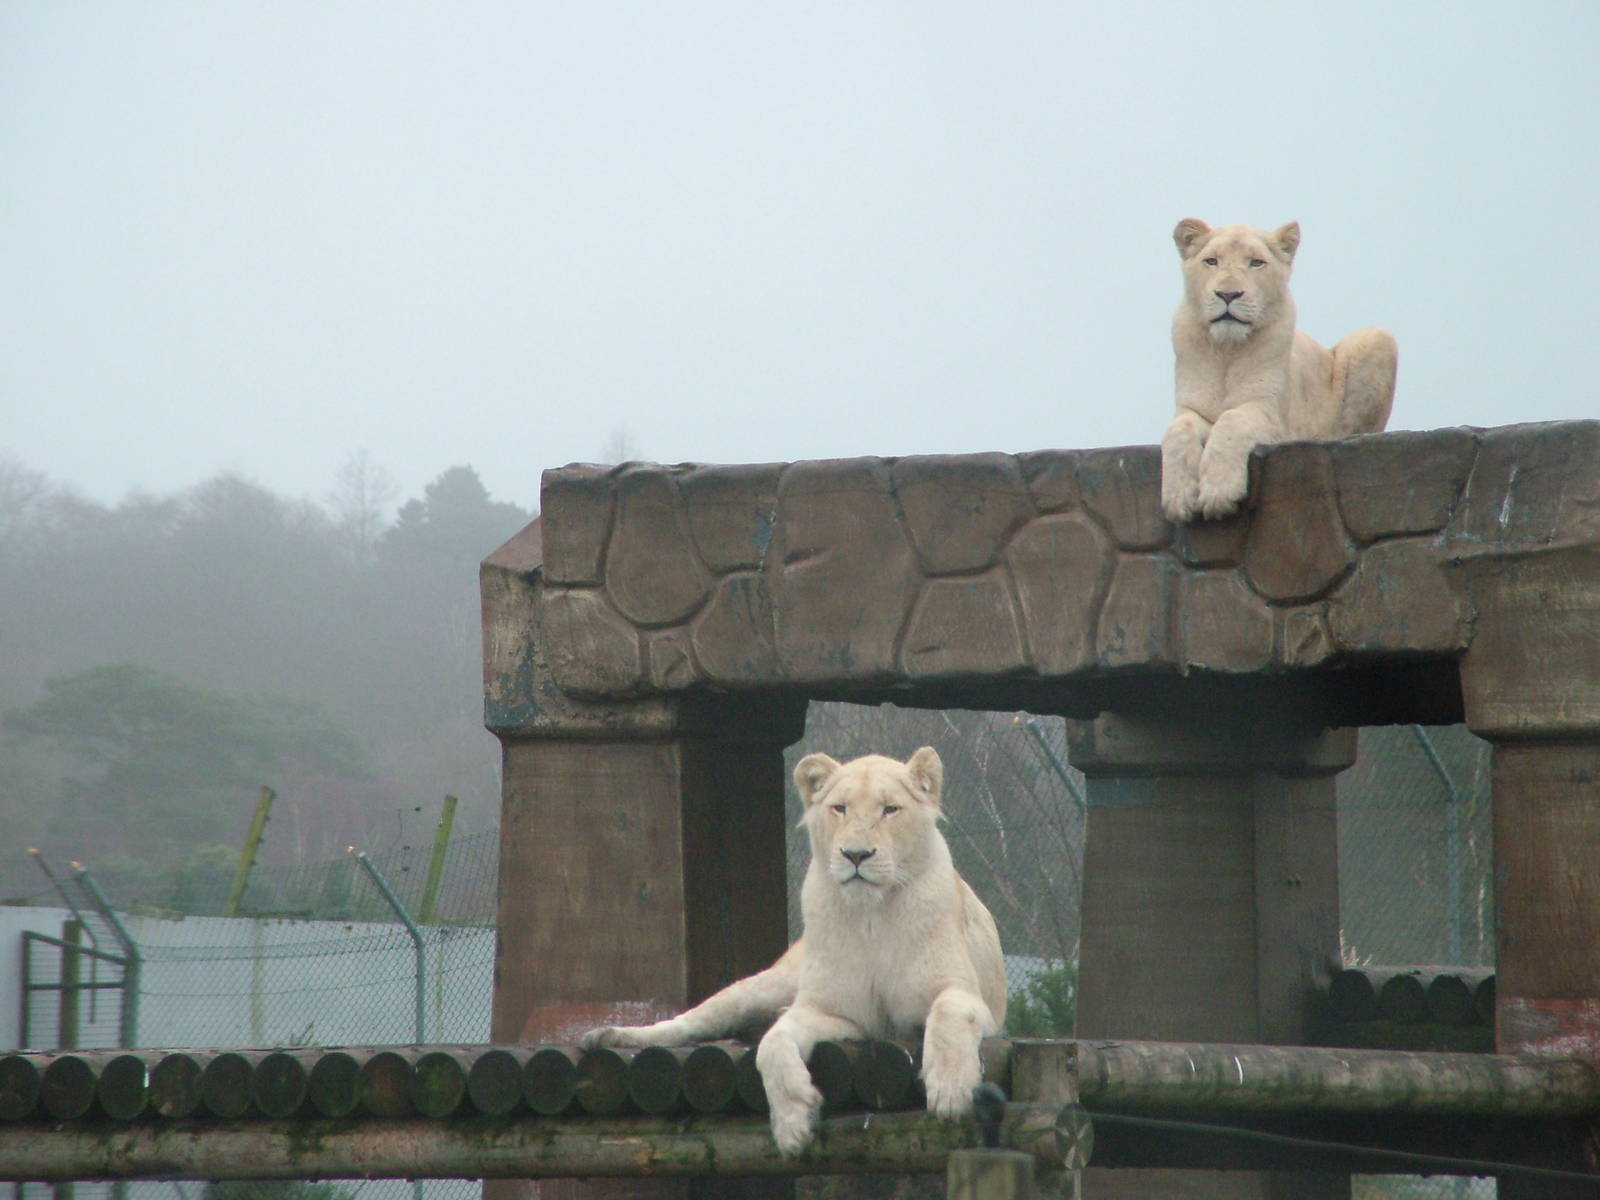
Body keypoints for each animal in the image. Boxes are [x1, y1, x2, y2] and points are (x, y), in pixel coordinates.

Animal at [582, 746, 1006, 1156]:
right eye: (840, 808)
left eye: (890, 809)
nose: (855, 855)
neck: (871, 915)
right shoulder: (833, 1012)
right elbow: (773, 1043)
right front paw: (792, 1125)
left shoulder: (964, 996)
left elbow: (947, 1016)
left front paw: (950, 1091)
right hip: (760, 988)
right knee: (688, 1023)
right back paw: (607, 1036)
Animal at [1161, 218, 1398, 522]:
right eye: (1211, 261)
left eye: (1256, 263)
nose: (1228, 294)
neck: (1227, 350)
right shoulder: (1190, 409)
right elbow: (1178, 431)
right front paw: (1178, 499)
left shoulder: (1270, 412)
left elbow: (1232, 420)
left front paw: (1219, 494)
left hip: (1376, 338)